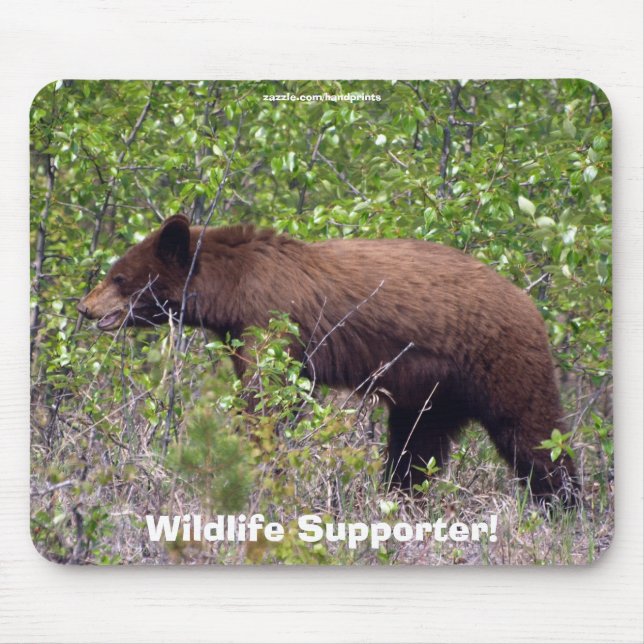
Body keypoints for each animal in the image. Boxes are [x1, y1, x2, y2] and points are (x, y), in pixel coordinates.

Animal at [77, 214, 577, 500]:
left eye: (118, 277)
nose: (85, 307)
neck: (233, 287)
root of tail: (532, 307)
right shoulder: (241, 330)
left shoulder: (271, 318)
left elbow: (269, 396)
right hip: (435, 394)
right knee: (415, 449)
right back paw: (398, 501)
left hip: (502, 362)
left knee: (535, 437)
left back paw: (564, 507)